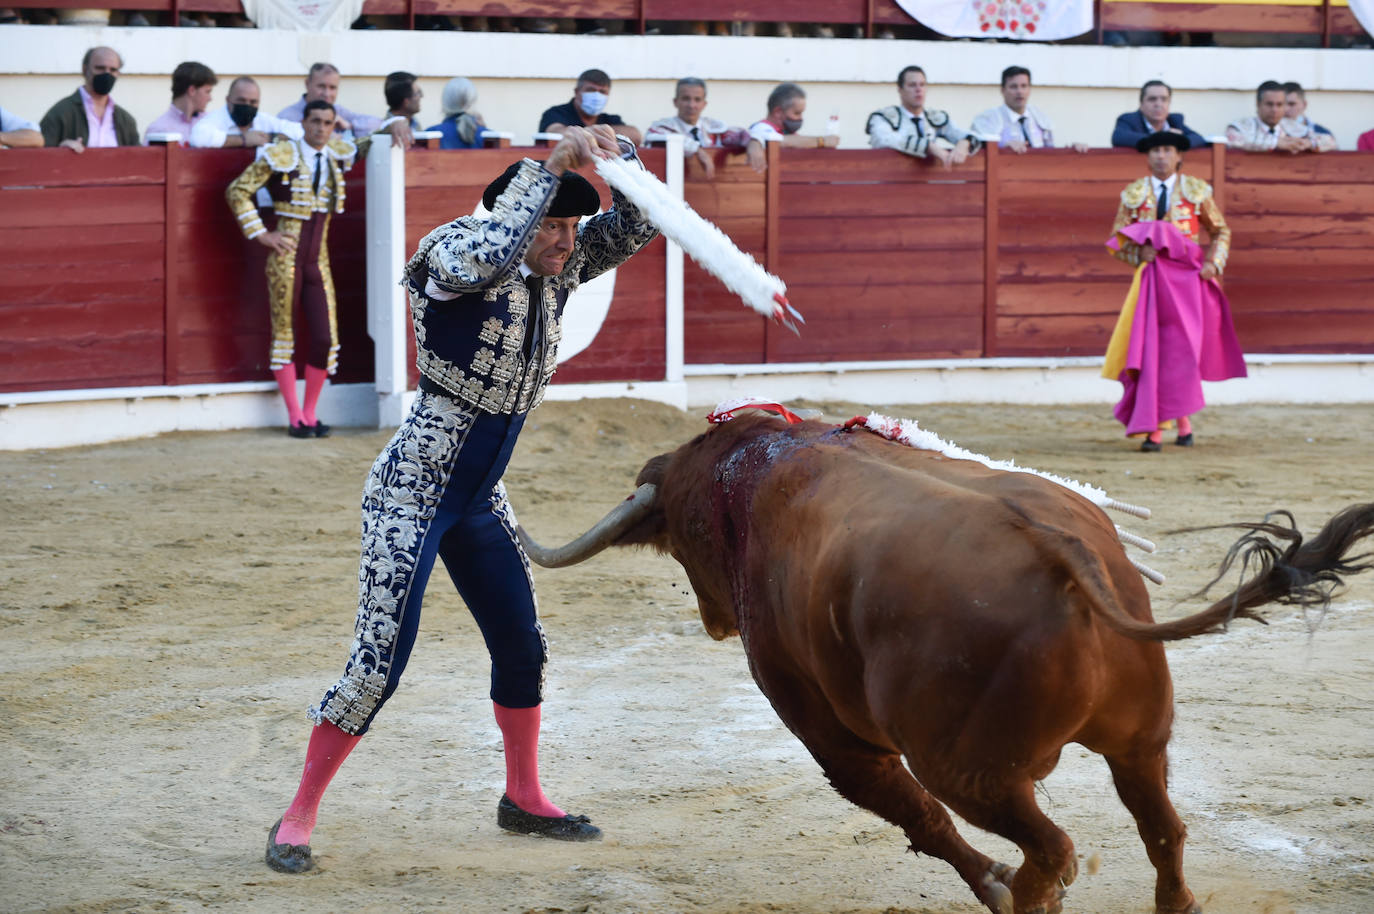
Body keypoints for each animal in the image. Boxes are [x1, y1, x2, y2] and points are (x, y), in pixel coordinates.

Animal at [516, 409, 1374, 912]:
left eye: (682, 541)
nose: (714, 621)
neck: (760, 467)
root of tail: (1061, 551)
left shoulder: (828, 730)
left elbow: (910, 813)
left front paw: (991, 883)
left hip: (970, 768)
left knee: (1044, 842)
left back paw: (1028, 893)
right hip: (1139, 739)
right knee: (1161, 827)